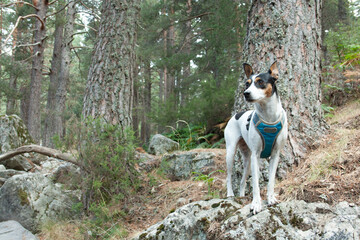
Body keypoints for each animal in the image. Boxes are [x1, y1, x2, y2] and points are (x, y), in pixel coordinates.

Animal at [226, 61, 288, 214]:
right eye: (247, 84)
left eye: (260, 82)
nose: (246, 93)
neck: (268, 117)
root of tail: (236, 115)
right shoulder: (256, 155)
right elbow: (255, 184)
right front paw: (256, 204)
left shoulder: (275, 155)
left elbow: (271, 181)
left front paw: (271, 199)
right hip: (231, 153)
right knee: (228, 176)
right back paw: (230, 194)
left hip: (247, 160)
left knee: (242, 181)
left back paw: (242, 196)